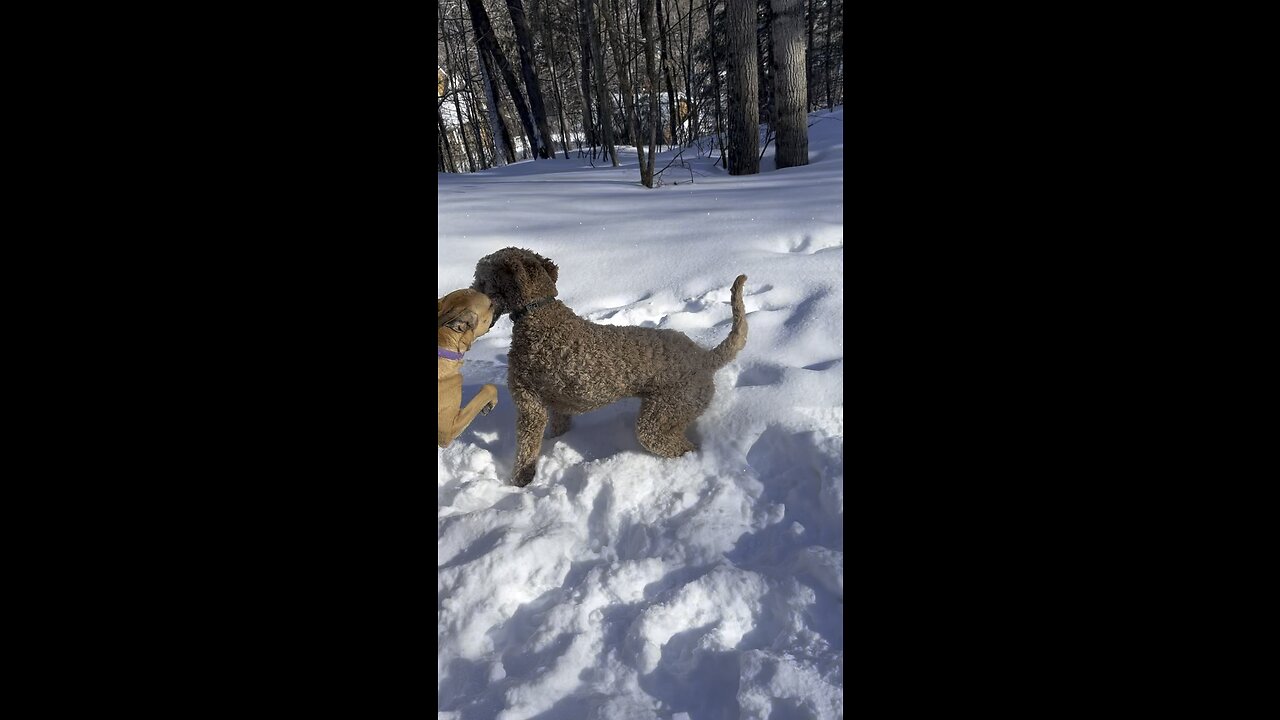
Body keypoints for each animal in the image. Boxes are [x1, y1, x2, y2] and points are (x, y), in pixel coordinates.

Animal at [473, 243, 747, 484]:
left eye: (482, 281)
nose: (470, 291)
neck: (537, 313)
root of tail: (705, 357)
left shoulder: (529, 405)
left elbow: (526, 451)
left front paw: (519, 482)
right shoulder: (557, 405)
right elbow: (558, 426)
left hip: (661, 417)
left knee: (679, 445)